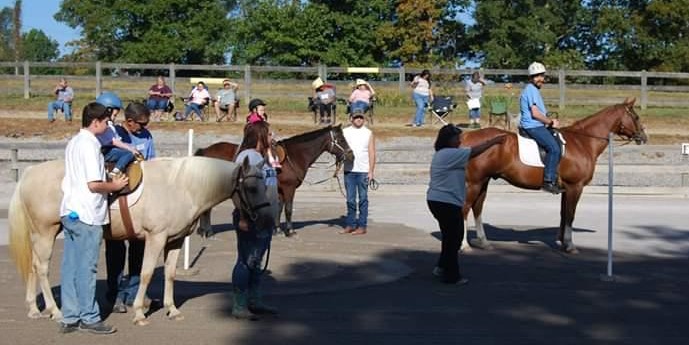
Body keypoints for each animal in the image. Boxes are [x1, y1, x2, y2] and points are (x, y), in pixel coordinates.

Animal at [8, 156, 272, 326]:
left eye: (264, 185)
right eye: (251, 187)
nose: (266, 219)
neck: (182, 187)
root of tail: (29, 174)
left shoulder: (175, 241)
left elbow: (170, 274)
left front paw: (172, 309)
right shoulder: (156, 238)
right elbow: (145, 274)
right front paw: (139, 313)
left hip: (40, 234)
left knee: (33, 267)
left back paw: (34, 309)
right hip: (46, 231)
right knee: (42, 268)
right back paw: (55, 311)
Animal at [195, 124, 352, 236]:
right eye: (341, 140)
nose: (351, 155)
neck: (294, 156)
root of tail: (205, 151)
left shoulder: (280, 189)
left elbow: (279, 208)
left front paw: (277, 230)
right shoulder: (289, 188)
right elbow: (288, 209)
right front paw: (290, 231)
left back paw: (203, 231)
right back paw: (207, 231)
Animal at [462, 97, 644, 253]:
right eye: (635, 116)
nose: (643, 137)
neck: (582, 142)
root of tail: (467, 136)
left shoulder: (566, 189)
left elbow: (564, 214)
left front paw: (562, 242)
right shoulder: (575, 187)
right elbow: (570, 215)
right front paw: (570, 245)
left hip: (483, 182)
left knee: (477, 209)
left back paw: (484, 242)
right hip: (474, 183)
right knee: (465, 209)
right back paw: (464, 245)